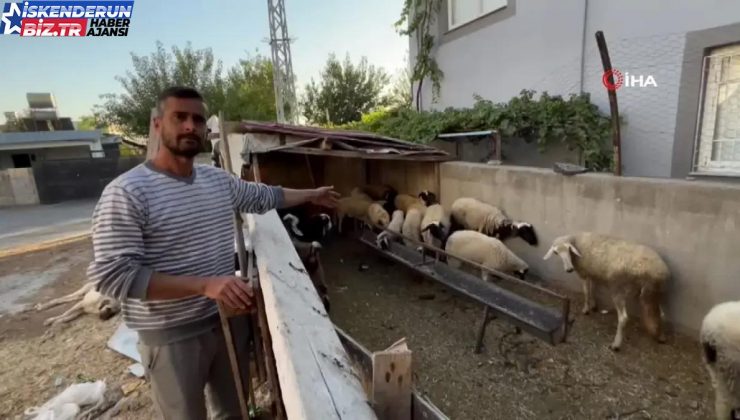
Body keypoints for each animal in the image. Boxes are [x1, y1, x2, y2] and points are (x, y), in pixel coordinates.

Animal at [544, 233, 672, 352]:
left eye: (569, 249)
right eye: (556, 252)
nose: (569, 269)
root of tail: (656, 272)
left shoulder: (584, 273)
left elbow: (586, 291)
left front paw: (586, 309)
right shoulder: (592, 272)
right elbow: (592, 288)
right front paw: (594, 305)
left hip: (619, 289)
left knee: (623, 318)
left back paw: (616, 344)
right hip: (653, 293)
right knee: (660, 314)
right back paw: (661, 336)